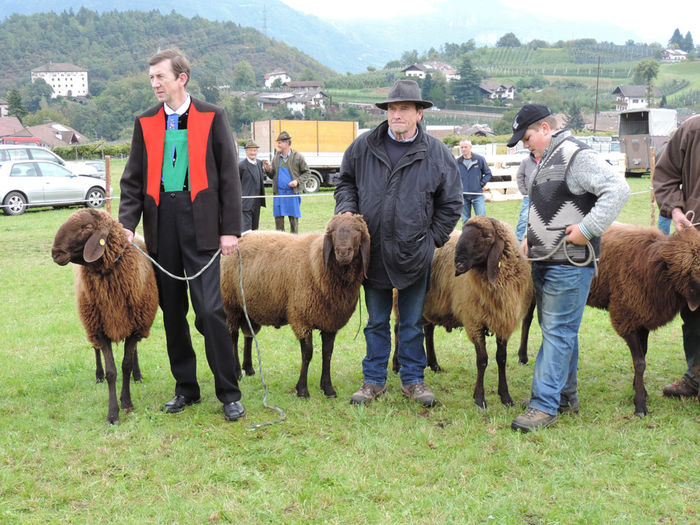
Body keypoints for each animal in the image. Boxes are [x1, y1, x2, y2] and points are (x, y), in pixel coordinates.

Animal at [51, 207, 158, 424]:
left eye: (87, 227)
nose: (55, 253)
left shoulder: (134, 326)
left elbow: (125, 365)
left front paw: (127, 402)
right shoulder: (100, 328)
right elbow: (111, 372)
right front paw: (113, 414)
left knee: (134, 352)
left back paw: (137, 375)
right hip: (90, 321)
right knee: (96, 350)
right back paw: (98, 375)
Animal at [221, 213, 370, 398]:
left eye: (358, 230)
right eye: (333, 232)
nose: (342, 252)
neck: (318, 266)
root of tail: (241, 237)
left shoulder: (329, 321)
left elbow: (327, 354)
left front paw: (328, 388)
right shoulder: (301, 318)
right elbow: (307, 354)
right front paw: (302, 390)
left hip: (250, 307)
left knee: (248, 334)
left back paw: (248, 368)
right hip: (231, 304)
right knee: (233, 337)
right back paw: (236, 372)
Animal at [418, 215, 532, 408]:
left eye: (487, 236)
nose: (458, 263)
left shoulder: (502, 322)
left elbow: (501, 358)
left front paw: (505, 397)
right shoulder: (474, 322)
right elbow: (482, 360)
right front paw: (479, 398)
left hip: (431, 305)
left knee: (429, 330)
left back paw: (434, 365)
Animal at [520, 223, 700, 416]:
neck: (657, 270)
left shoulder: (642, 316)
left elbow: (642, 355)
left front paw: (639, 388)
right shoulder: (625, 317)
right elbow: (640, 363)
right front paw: (640, 404)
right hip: (534, 285)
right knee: (527, 319)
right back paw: (522, 356)